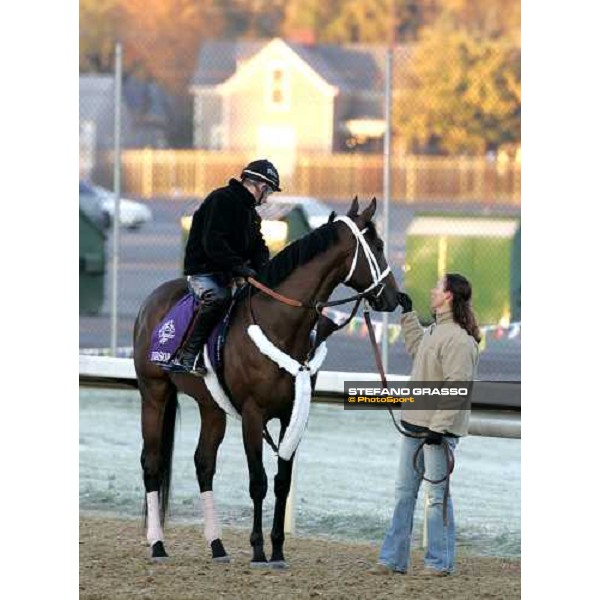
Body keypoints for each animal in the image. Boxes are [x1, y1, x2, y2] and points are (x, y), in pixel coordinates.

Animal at [134, 197, 400, 568]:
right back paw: (157, 544)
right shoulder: (253, 414)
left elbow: (282, 481)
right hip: (154, 392)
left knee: (204, 464)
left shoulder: (293, 413)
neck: (280, 324)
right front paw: (259, 549)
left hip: (211, 405)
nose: (396, 298)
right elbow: (258, 481)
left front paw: (277, 549)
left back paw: (217, 545)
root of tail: (151, 302)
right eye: (377, 246)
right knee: (152, 462)